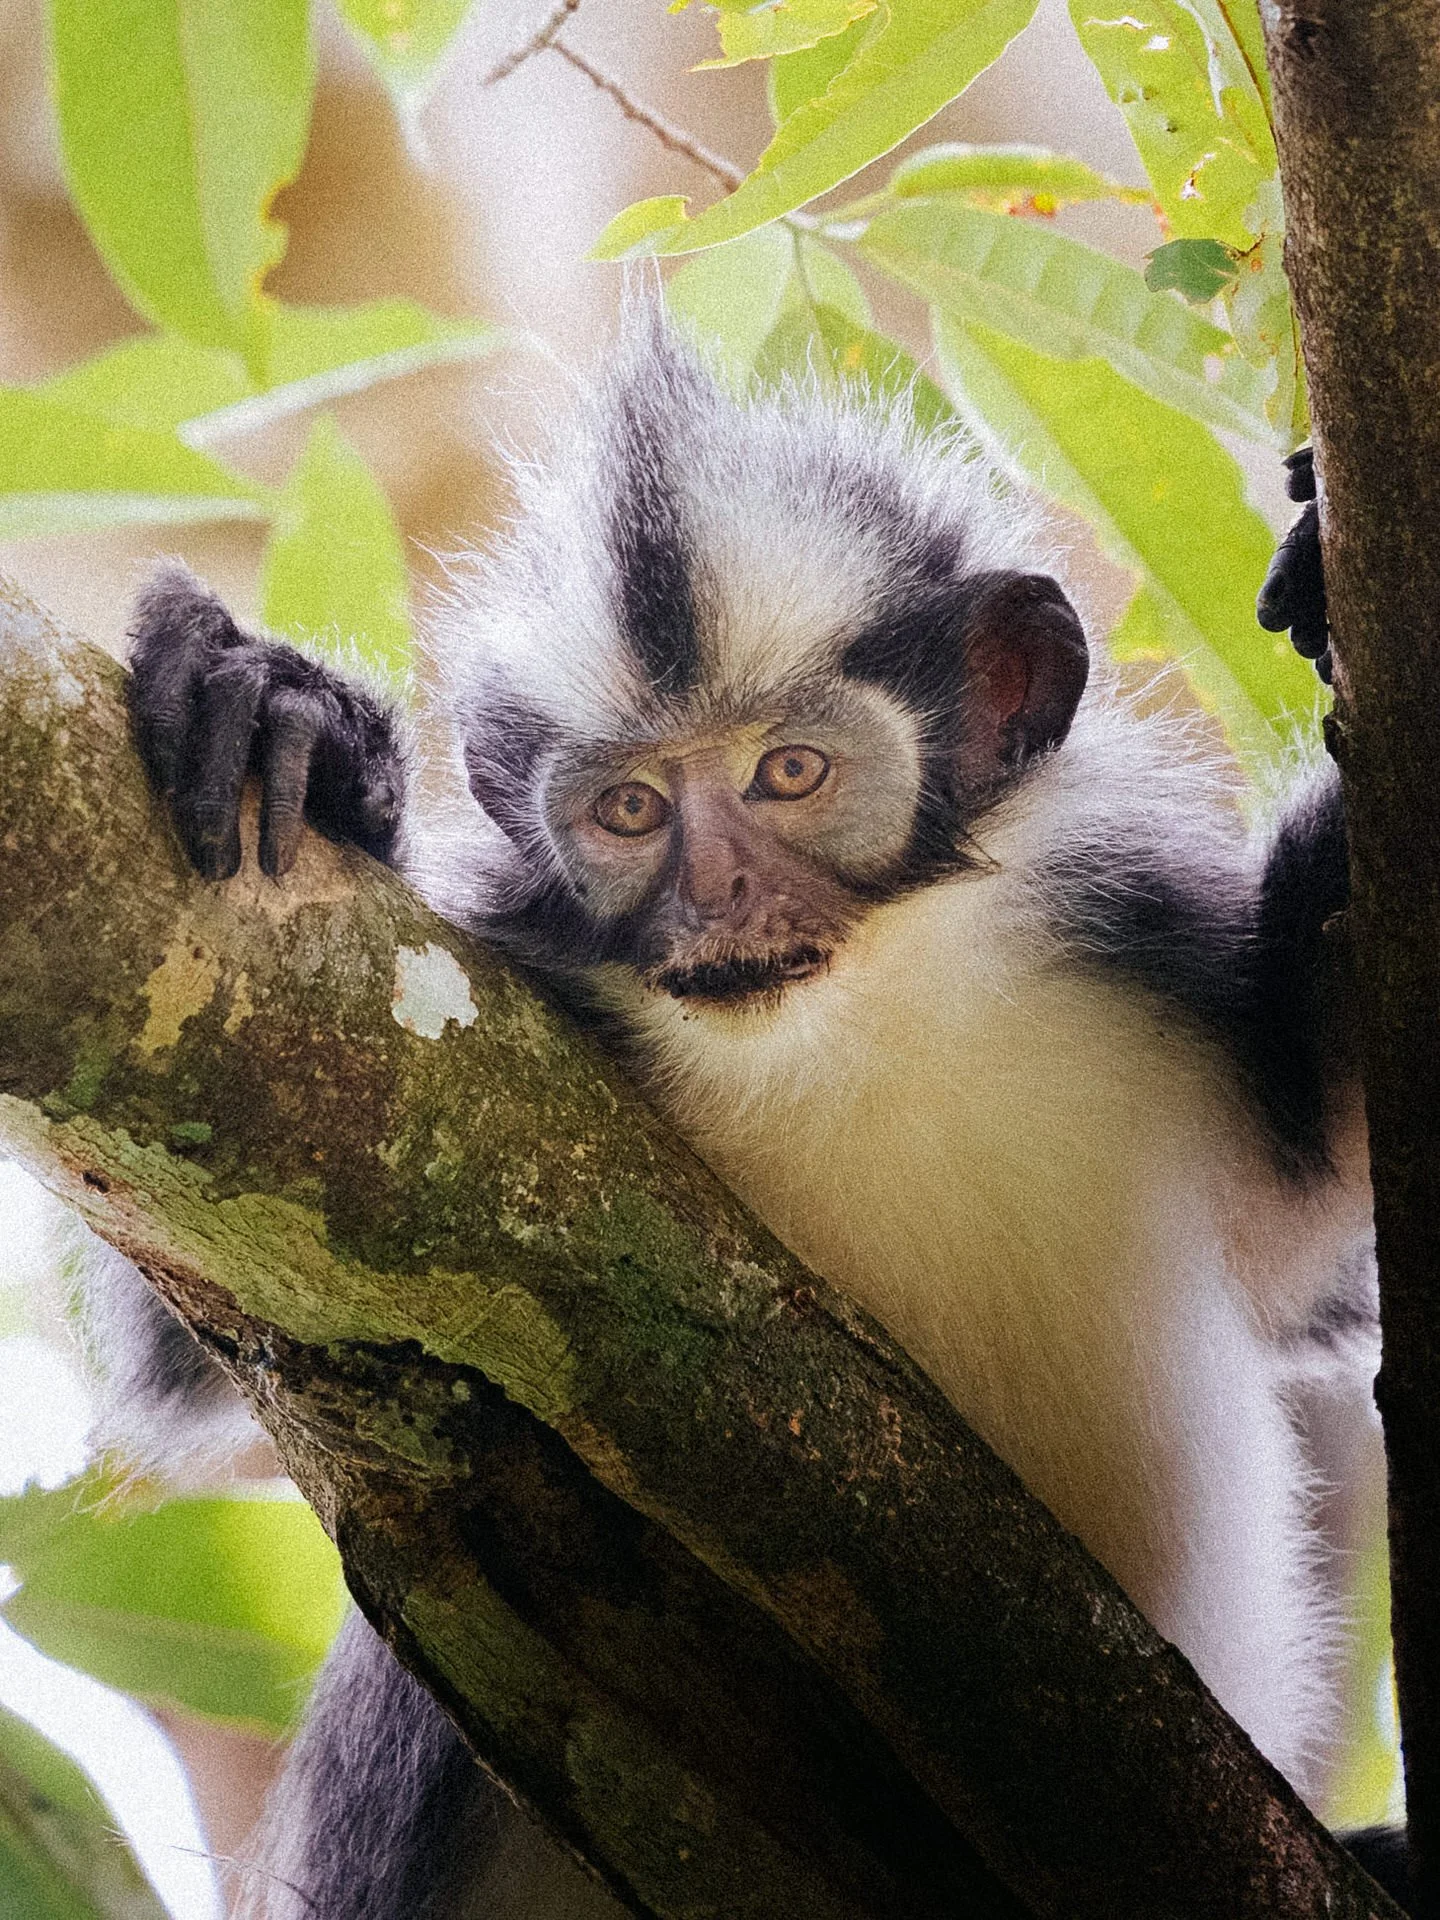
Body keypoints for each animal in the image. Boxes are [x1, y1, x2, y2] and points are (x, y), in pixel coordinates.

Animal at [101, 321, 1398, 1916]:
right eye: (634, 813)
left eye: (791, 773)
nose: (720, 894)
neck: (861, 1031)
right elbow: (218, 1318)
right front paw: (307, 736)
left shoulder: (1154, 948)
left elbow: (1323, 1218)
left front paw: (1324, 573)